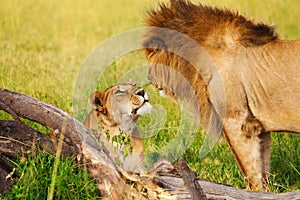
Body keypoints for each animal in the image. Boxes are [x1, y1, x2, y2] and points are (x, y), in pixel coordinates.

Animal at [142, 0, 300, 191]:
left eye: (151, 57)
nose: (149, 77)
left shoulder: (237, 120)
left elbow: (250, 172)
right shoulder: (258, 127)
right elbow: (263, 170)